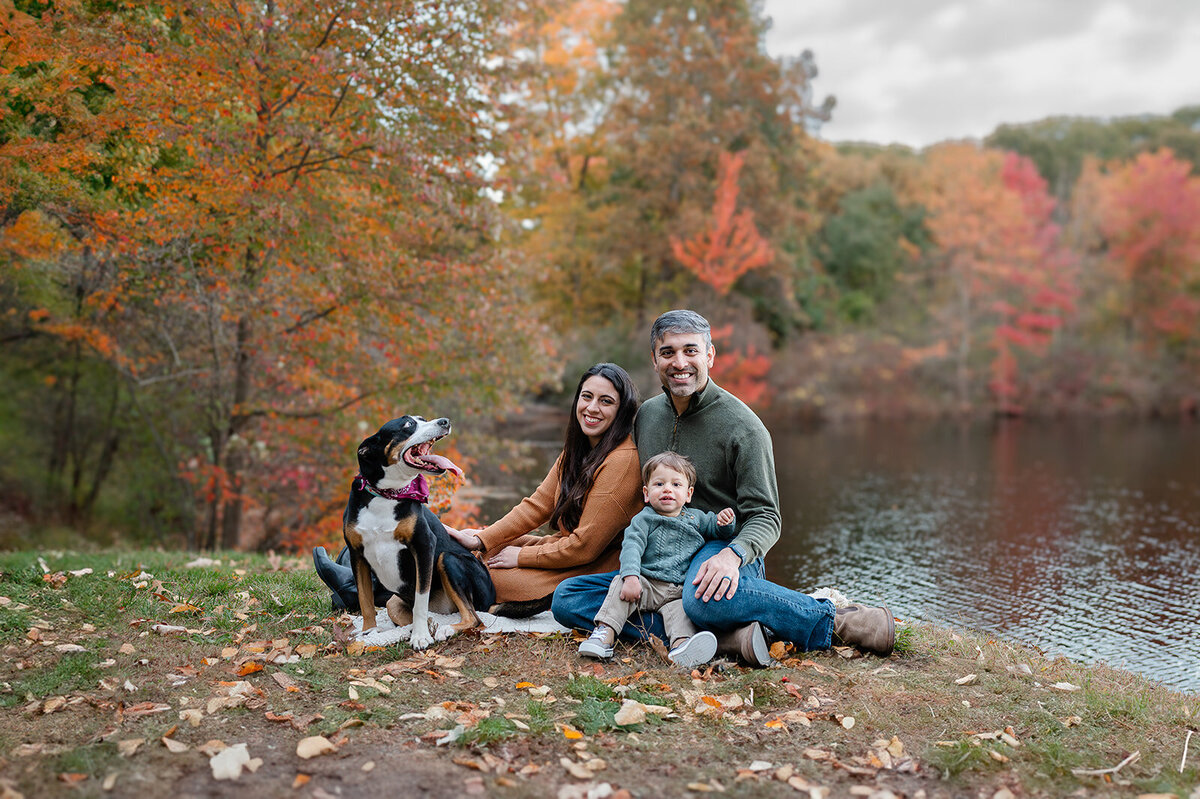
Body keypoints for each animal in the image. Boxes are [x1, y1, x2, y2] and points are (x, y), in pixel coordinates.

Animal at [343, 412, 496, 652]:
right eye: (408, 424)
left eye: (422, 419)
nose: (445, 421)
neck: (387, 495)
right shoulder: (357, 554)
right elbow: (365, 600)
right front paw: (368, 633)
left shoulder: (424, 546)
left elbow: (420, 602)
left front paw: (421, 636)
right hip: (393, 601)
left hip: (448, 559)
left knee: (474, 618)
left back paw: (445, 629)